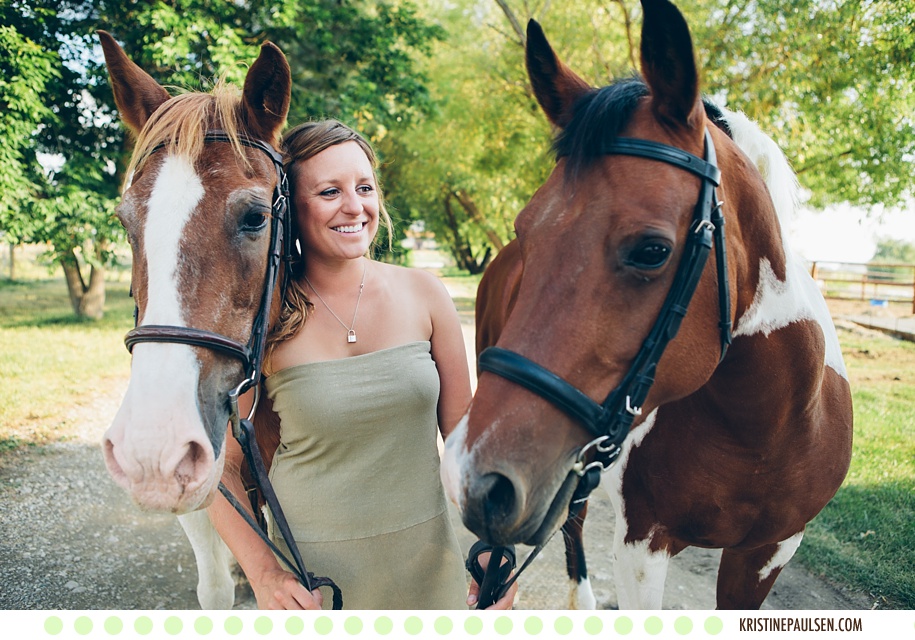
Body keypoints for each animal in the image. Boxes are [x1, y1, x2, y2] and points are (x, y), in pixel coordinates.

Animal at [448, 0, 856, 608]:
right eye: (526, 228)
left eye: (652, 250)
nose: (476, 479)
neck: (764, 429)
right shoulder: (643, 544)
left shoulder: (769, 553)